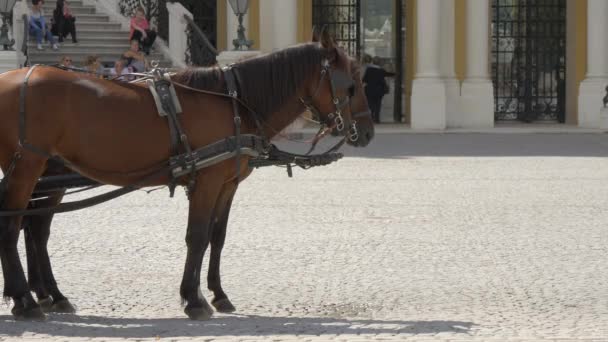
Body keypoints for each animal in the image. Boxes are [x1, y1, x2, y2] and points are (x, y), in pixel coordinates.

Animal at [0, 34, 372, 320]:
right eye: (351, 85)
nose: (366, 132)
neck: (234, 102)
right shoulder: (207, 182)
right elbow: (197, 236)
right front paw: (193, 299)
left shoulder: (227, 184)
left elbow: (216, 237)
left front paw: (218, 293)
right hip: (27, 167)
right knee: (14, 227)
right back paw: (25, 300)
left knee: (35, 230)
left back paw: (48, 295)